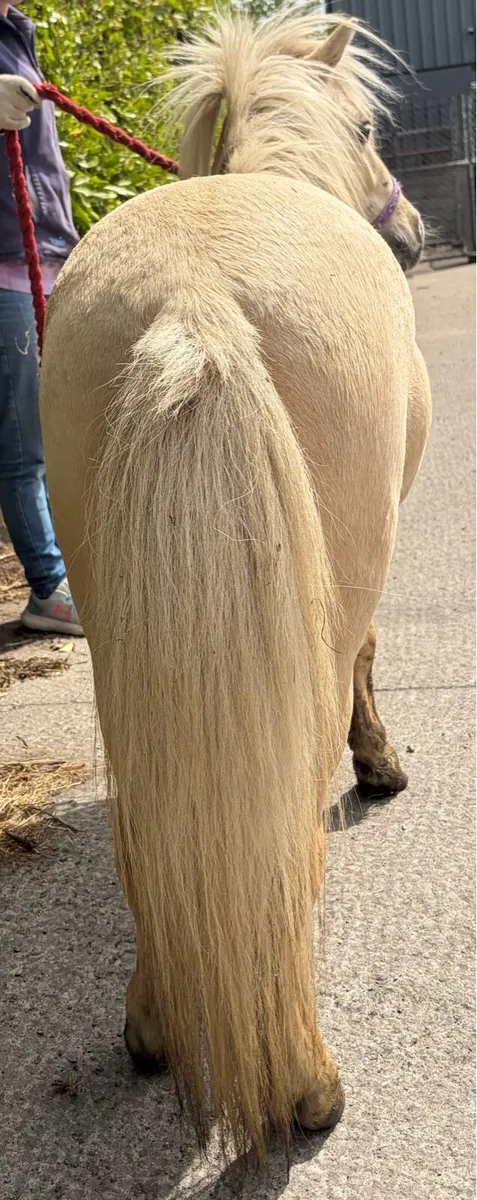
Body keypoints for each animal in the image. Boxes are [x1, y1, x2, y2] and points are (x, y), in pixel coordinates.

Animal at [40, 9, 432, 1163]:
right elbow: (369, 661)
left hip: (120, 641)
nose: (413, 234)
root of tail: (194, 301)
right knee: (290, 825)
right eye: (364, 124)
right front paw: (380, 767)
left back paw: (152, 1027)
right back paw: (307, 1089)